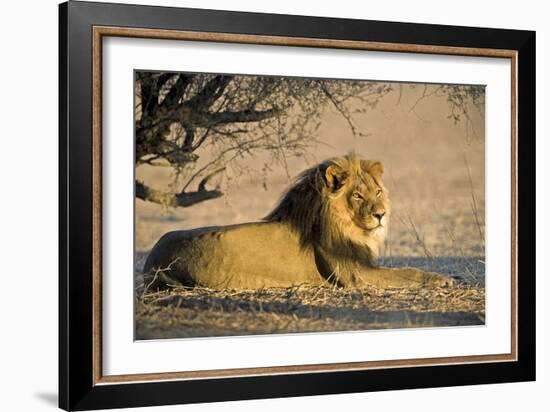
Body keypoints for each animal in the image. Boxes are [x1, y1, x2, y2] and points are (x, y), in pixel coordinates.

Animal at [143, 154, 458, 290]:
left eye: (378, 192)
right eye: (357, 196)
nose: (381, 214)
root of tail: (151, 260)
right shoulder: (356, 274)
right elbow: (408, 271)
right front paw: (443, 279)